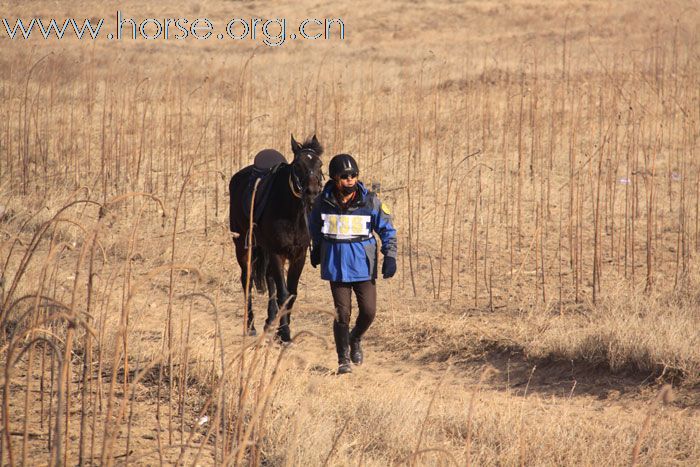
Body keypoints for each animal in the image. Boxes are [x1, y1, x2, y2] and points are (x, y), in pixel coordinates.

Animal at [228, 133, 324, 342]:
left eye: (320, 164)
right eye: (298, 165)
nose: (312, 193)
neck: (292, 213)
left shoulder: (298, 255)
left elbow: (291, 293)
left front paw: (282, 330)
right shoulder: (277, 253)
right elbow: (283, 292)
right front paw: (285, 334)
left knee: (269, 278)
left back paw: (270, 321)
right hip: (243, 246)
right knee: (247, 279)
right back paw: (251, 326)